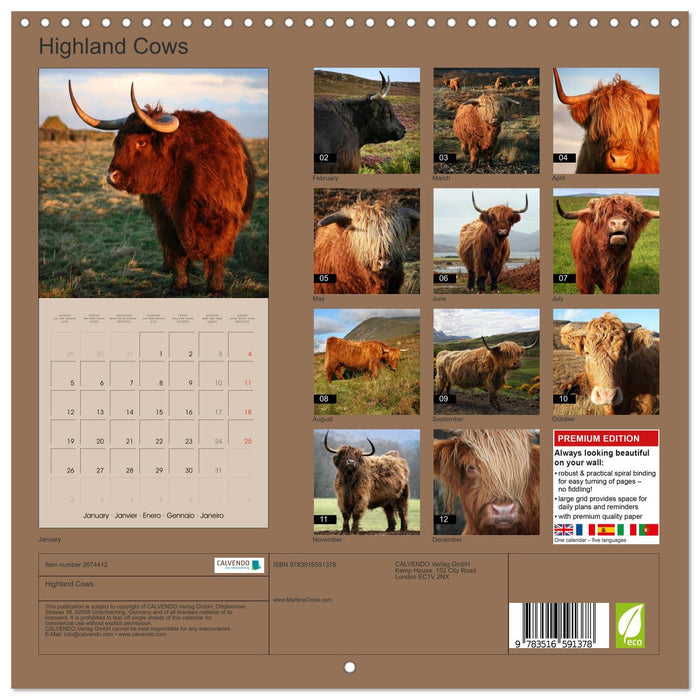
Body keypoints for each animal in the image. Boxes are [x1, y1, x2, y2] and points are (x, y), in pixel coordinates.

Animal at [68, 81, 255, 297]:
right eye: (118, 142)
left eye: (141, 142)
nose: (111, 176)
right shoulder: (167, 220)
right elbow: (177, 253)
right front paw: (179, 286)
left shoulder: (224, 220)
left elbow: (216, 255)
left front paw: (216, 289)